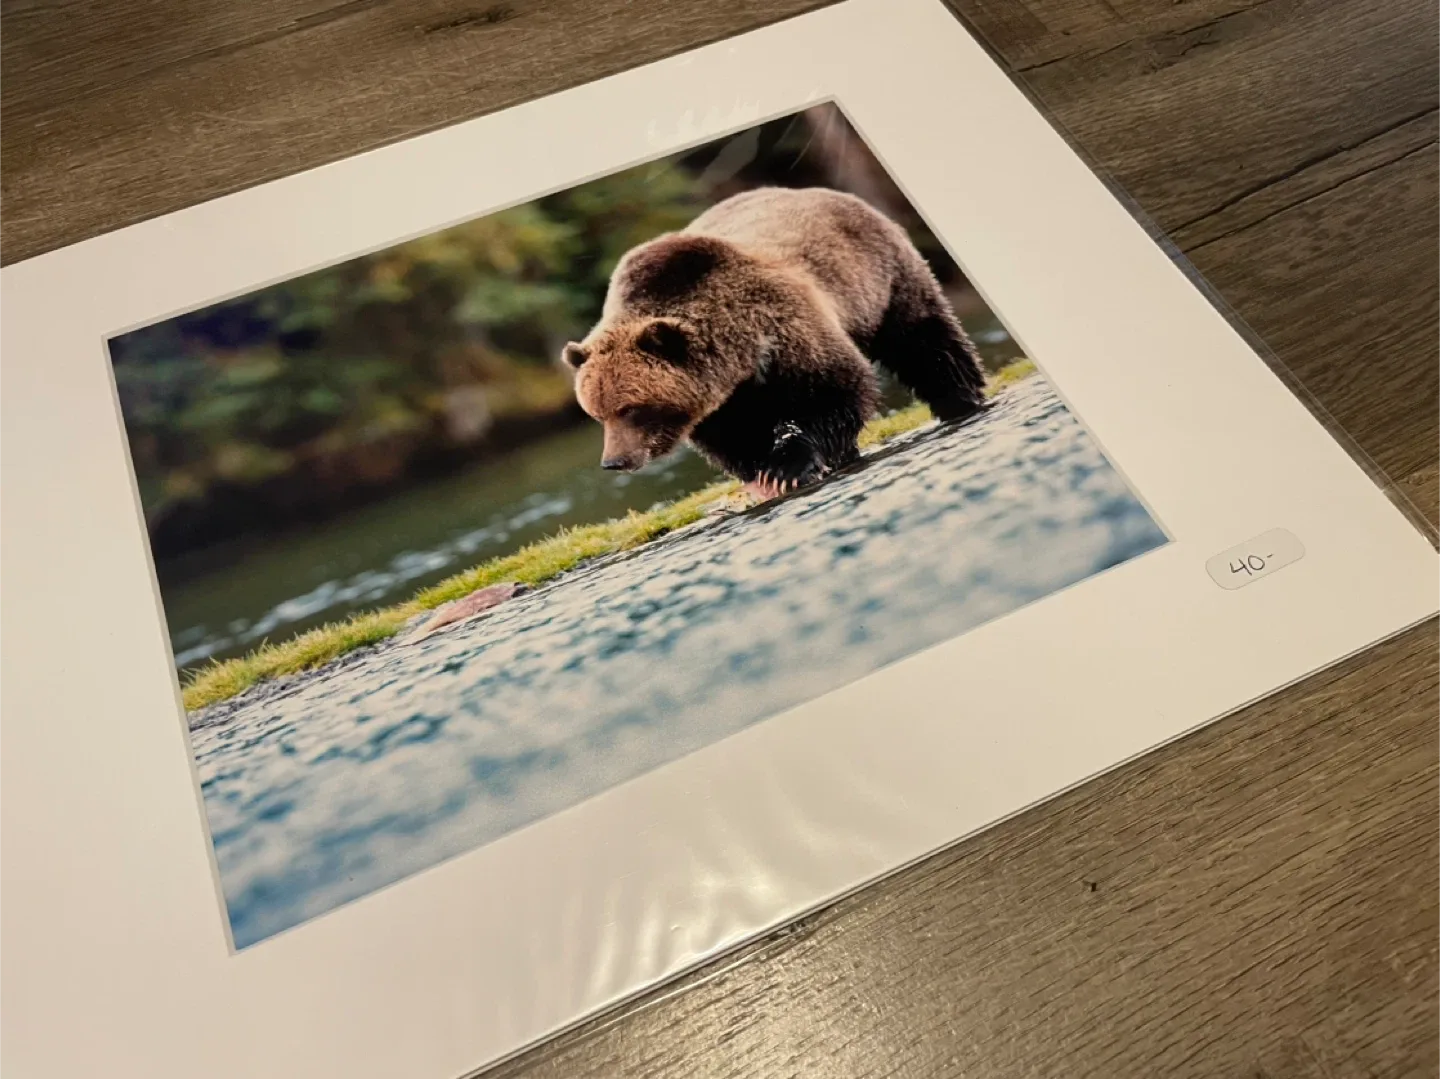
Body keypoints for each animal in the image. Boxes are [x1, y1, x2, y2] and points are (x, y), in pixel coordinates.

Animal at [562, 186, 987, 500]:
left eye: (630, 409)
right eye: (597, 413)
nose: (614, 462)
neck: (741, 359)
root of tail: (821, 190)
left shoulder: (786, 330)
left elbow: (833, 390)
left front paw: (787, 468)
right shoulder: (723, 400)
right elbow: (735, 436)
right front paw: (761, 472)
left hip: (880, 278)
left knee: (922, 338)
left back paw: (960, 400)